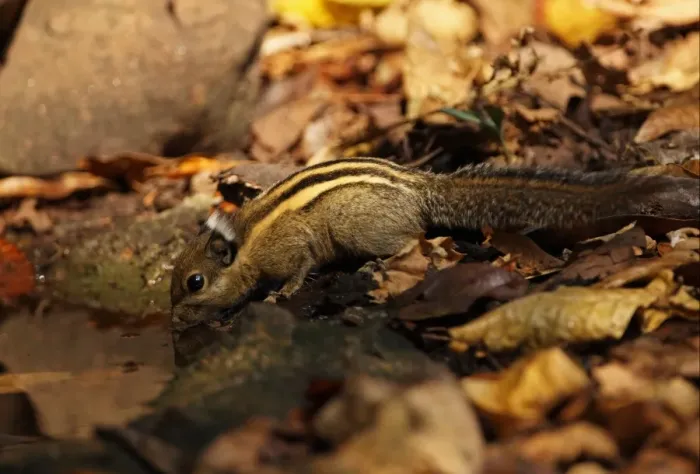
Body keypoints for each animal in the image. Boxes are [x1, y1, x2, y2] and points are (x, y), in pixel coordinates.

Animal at [170, 157, 696, 327]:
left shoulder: (290, 248)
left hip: (361, 230)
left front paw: (281, 293)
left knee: (415, 237)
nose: (173, 315)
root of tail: (421, 188)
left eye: (195, 282)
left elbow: (297, 270)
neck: (245, 243)